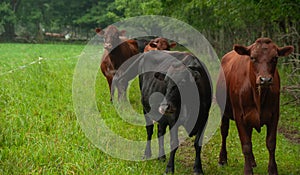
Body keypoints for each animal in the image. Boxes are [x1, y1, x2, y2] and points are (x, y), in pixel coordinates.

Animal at [216, 37, 292, 174]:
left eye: (275, 58)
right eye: (252, 57)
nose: (265, 80)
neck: (258, 97)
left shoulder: (274, 115)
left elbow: (271, 143)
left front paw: (272, 170)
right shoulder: (239, 116)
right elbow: (246, 144)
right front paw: (247, 170)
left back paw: (252, 161)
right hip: (223, 110)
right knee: (224, 131)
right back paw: (222, 159)